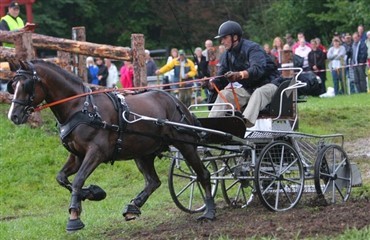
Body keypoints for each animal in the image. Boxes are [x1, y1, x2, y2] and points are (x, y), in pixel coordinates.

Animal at [7, 59, 215, 231]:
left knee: (203, 174)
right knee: (153, 181)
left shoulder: (96, 153)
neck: (81, 108)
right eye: (13, 85)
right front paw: (92, 193)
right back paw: (133, 206)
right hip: (142, 153)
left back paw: (209, 211)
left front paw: (74, 215)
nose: (13, 116)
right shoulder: (76, 156)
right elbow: (62, 178)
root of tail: (176, 101)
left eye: (26, 85)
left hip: (185, 145)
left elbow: (78, 180)